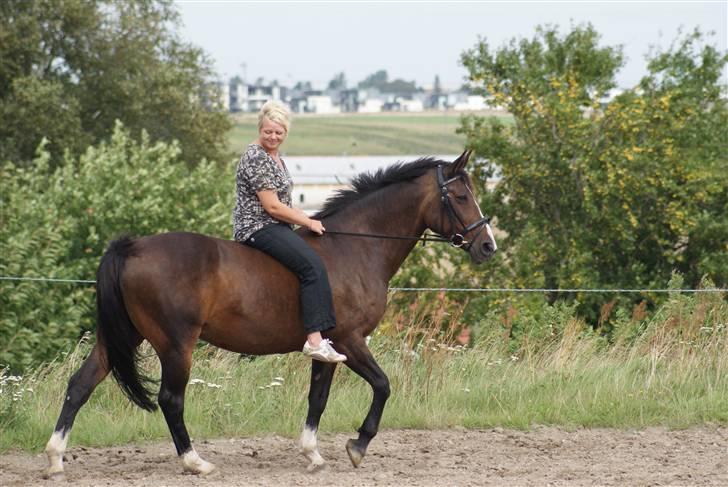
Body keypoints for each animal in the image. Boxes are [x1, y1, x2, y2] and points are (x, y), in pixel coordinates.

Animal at [44, 151, 494, 478]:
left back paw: (55, 460)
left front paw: (313, 455)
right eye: (460, 197)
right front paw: (357, 446)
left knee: (80, 385)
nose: (487, 245)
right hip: (175, 344)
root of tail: (133, 247)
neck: (355, 247)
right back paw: (195, 462)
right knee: (171, 399)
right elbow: (383, 385)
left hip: (120, 337)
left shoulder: (329, 348)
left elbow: (318, 398)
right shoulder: (350, 339)